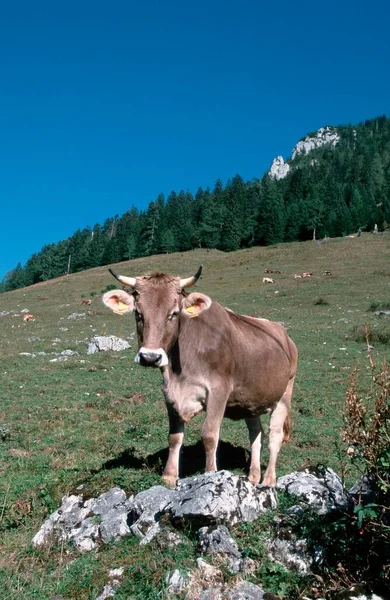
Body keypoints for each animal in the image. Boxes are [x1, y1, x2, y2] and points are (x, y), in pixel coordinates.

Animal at [102, 268, 298, 488]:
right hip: (251, 401)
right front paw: (169, 476)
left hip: (284, 394)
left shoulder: (219, 391)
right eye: (138, 313)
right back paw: (253, 476)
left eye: (174, 313)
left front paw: (210, 473)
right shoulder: (169, 394)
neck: (180, 372)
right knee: (256, 434)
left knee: (275, 436)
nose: (150, 357)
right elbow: (174, 437)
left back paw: (269, 479)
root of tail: (284, 335)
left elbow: (210, 435)